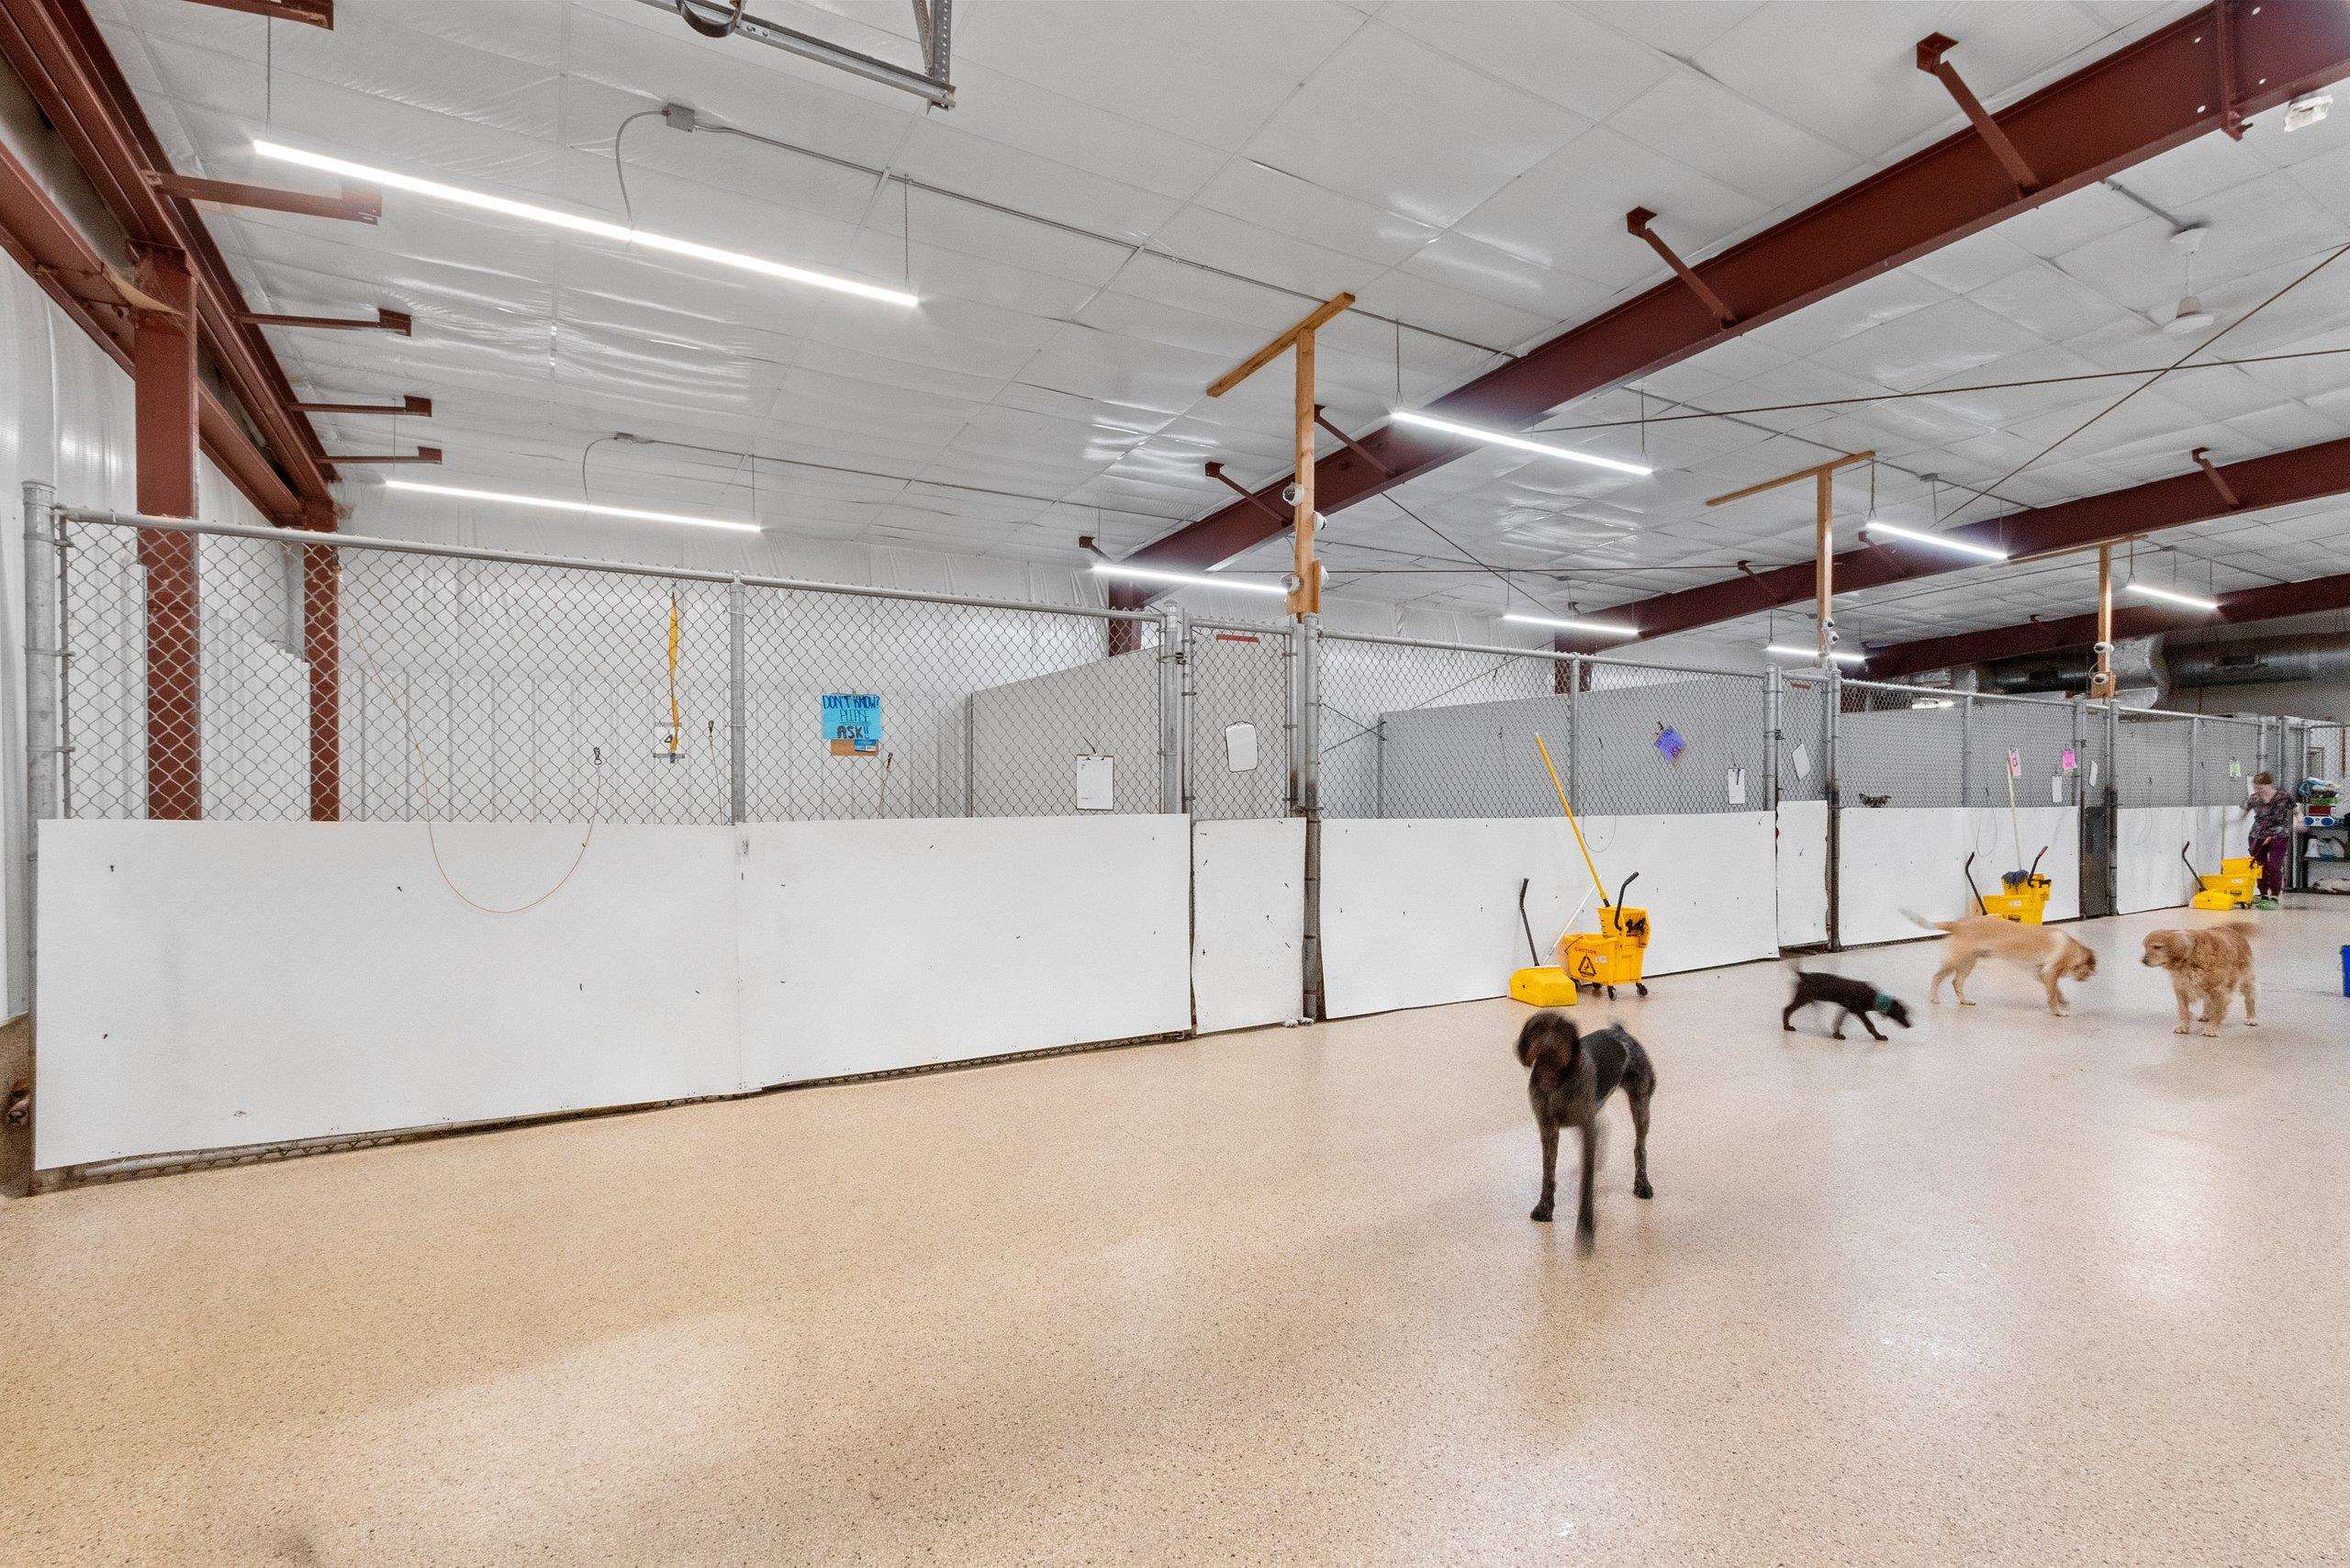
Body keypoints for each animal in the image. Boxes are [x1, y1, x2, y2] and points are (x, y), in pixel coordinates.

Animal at [1513, 1011, 1654, 1244]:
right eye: (1536, 1029)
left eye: (1563, 1030)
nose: (1548, 1046)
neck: (1556, 1080)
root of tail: (1620, 1031)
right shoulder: (1548, 1128)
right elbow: (1548, 1174)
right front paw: (1545, 1208)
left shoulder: (1586, 1128)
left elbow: (1586, 1182)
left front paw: (1586, 1224)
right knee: (1606, 1129)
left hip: (1640, 1103)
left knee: (1640, 1148)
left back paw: (1642, 1184)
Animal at [1783, 968, 1911, 1041]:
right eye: (1901, 1013)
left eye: (1907, 1013)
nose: (1910, 1025)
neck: (1875, 998)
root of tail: (1803, 974)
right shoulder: (1856, 1010)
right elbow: (1869, 1025)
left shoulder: (1848, 1009)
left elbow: (1840, 1021)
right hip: (1802, 998)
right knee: (1787, 1009)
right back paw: (1787, 1027)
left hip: (1805, 999)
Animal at [1915, 912, 2097, 1016]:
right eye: (2089, 970)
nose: (2087, 978)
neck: (2070, 947)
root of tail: (1959, 923)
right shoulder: (2050, 973)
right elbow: (2052, 995)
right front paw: (2058, 1012)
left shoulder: (2040, 973)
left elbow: (2056, 990)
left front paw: (2062, 999)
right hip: (1957, 960)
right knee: (1937, 977)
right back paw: (1934, 998)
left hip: (1968, 962)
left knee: (1956, 982)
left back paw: (1965, 1001)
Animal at [2141, 922, 2258, 1036]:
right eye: (2145, 947)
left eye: (2157, 947)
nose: (2143, 961)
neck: (2190, 958)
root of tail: (2231, 930)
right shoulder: (2181, 988)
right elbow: (2183, 1010)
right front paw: (2183, 1026)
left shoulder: (2218, 989)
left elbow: (2217, 1011)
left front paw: (2212, 1029)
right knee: (2207, 1001)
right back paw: (2205, 1015)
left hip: (2246, 981)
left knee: (2249, 999)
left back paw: (2251, 1018)